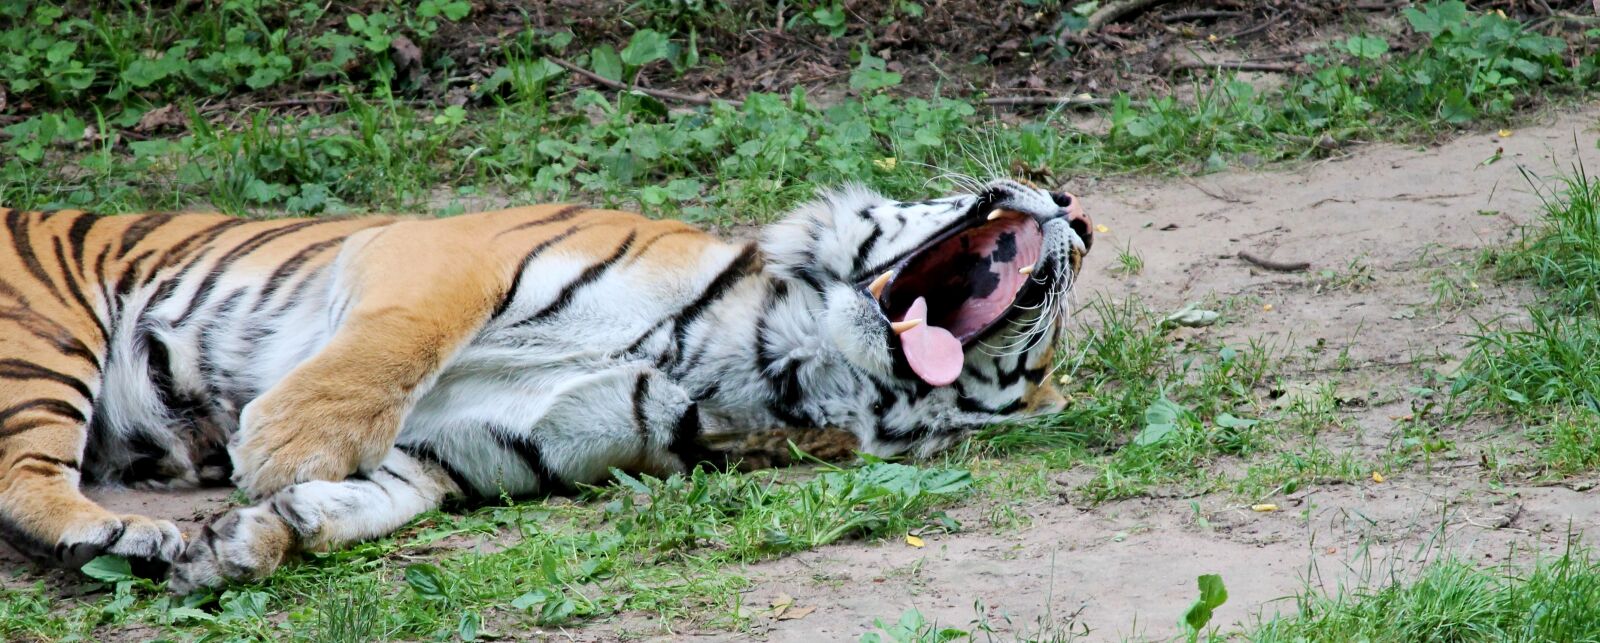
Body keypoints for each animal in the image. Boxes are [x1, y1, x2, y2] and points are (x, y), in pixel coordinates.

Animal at [0, 178, 1092, 592]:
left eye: (1035, 350)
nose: (1075, 209)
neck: (772, 352)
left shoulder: (458, 450)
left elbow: (375, 502)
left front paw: (256, 535)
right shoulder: (448, 254)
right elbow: (392, 348)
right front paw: (283, 445)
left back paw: (142, 540)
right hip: (43, 342)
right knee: (24, 475)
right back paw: (126, 529)